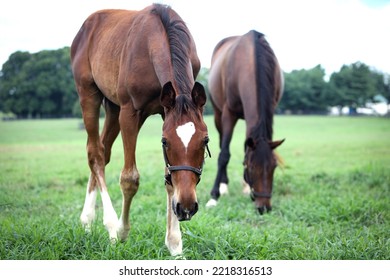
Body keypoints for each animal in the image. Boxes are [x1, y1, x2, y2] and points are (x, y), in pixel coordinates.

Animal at [71, 3, 209, 256]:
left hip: (112, 106)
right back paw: (108, 224)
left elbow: (169, 178)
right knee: (95, 153)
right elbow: (129, 178)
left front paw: (175, 244)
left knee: (102, 151)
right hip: (89, 95)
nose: (186, 207)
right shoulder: (130, 111)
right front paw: (122, 233)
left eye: (205, 141)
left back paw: (87, 220)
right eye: (165, 142)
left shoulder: (164, 110)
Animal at [206, 30, 284, 214]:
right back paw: (223, 186)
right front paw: (214, 196)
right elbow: (224, 155)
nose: (264, 207)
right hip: (218, 114)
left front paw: (247, 187)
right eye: (252, 167)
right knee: (221, 143)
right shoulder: (229, 113)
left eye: (274, 167)